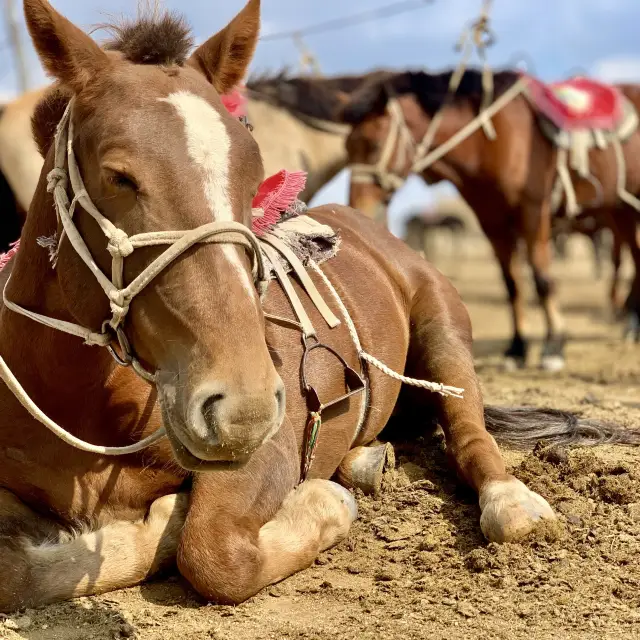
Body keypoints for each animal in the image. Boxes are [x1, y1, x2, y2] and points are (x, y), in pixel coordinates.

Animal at [338, 68, 640, 370]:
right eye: (347, 148)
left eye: (374, 144)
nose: (355, 206)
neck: (493, 141)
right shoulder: (493, 223)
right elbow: (512, 285)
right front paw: (517, 348)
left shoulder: (533, 212)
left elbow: (542, 279)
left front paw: (554, 345)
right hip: (621, 212)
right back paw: (631, 323)